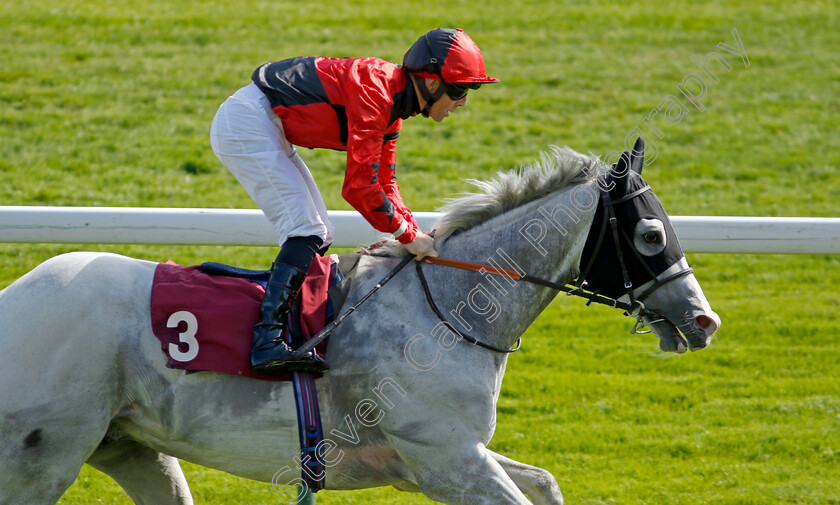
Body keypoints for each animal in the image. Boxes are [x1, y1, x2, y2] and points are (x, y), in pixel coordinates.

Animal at [1, 141, 720, 504]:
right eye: (651, 234)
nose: (703, 320)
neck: (446, 307)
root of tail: (16, 298)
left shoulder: (446, 455)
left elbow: (545, 481)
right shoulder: (445, 460)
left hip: (131, 446)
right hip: (43, 456)